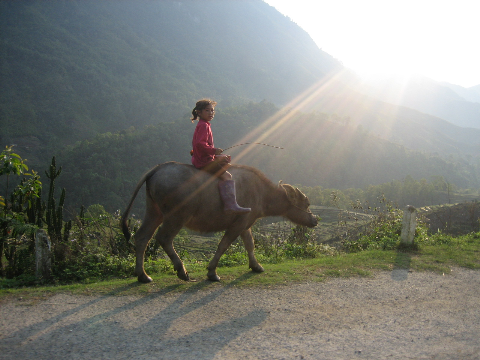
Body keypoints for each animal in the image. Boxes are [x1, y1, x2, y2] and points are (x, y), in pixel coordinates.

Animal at [122, 162, 318, 282]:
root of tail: (157, 169)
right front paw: (212, 272)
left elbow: (250, 244)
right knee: (164, 238)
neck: (261, 193)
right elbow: (224, 245)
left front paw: (256, 266)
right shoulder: (237, 224)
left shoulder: (245, 222)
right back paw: (182, 271)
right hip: (176, 216)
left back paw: (143, 275)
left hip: (154, 211)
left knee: (142, 237)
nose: (315, 219)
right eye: (306, 203)